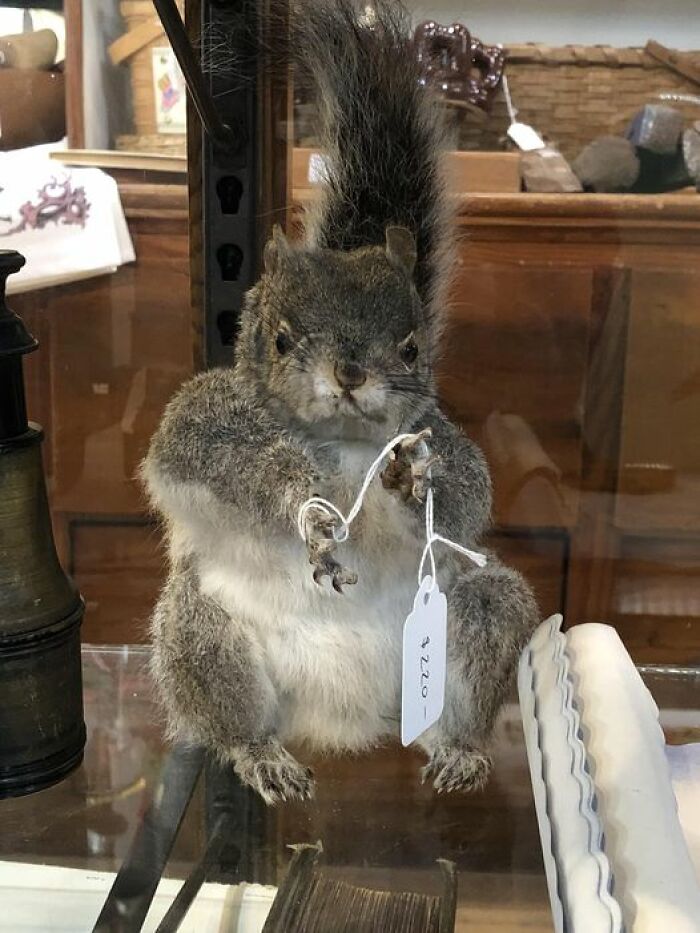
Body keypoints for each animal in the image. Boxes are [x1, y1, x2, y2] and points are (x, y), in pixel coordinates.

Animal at [142, 0, 539, 804]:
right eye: (281, 337)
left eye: (413, 346)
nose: (351, 372)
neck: (348, 445)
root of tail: (343, 722)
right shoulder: (201, 419)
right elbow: (220, 458)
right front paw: (307, 505)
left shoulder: (443, 434)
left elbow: (467, 489)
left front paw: (413, 480)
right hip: (203, 638)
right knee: (232, 714)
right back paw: (263, 756)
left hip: (476, 621)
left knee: (466, 672)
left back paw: (457, 752)